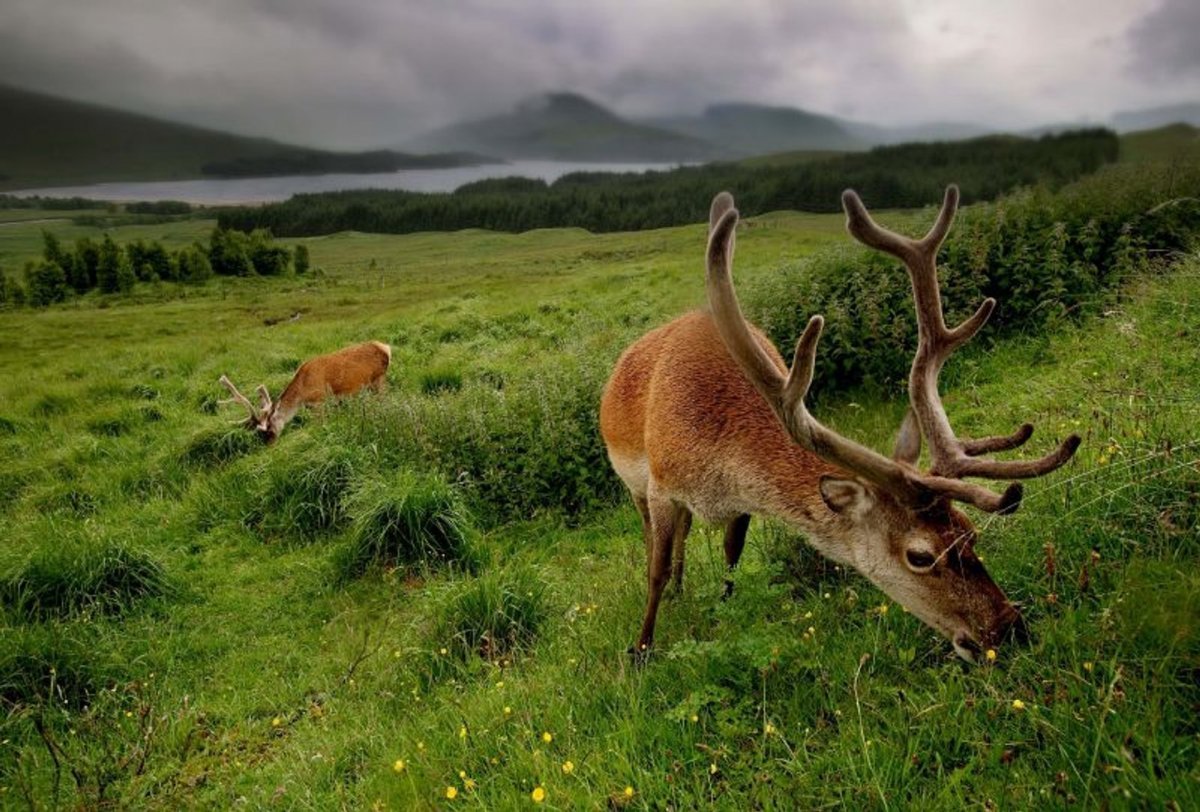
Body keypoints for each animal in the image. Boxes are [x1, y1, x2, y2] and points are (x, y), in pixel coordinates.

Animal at [218, 340, 391, 446]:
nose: (269, 446)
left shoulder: (319, 401)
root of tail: (386, 348)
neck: (303, 392)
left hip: (378, 378)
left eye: (268, 429)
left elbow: (320, 425)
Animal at [600, 187, 1080, 662]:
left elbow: (731, 556)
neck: (718, 461)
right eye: (921, 555)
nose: (1011, 628)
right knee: (655, 538)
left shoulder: (739, 505)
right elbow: (656, 569)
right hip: (632, 483)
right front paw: (641, 647)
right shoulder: (661, 486)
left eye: (970, 533)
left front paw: (723, 605)